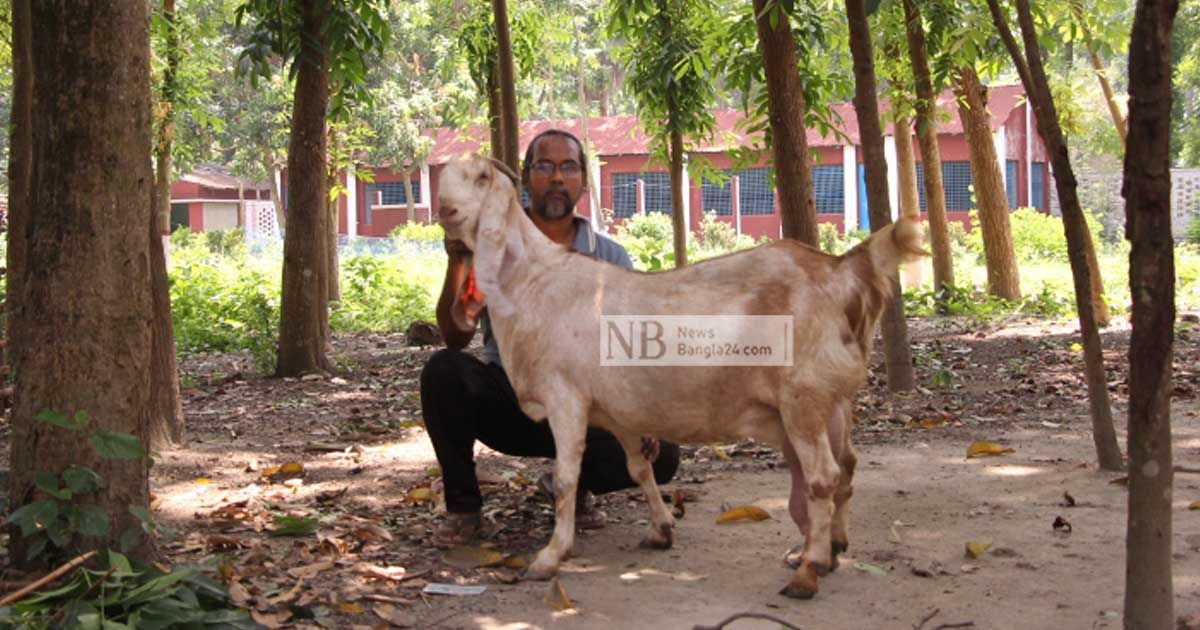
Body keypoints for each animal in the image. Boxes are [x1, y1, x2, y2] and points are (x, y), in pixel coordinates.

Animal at [436, 154, 921, 597]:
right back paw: (832, 548)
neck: (533, 282)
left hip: (804, 396)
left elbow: (567, 479)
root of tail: (840, 273)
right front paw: (661, 529)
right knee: (847, 465)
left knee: (823, 475)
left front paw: (551, 557)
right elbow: (639, 468)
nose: (444, 209)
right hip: (833, 400)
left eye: (482, 178)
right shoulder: (620, 414)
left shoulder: (565, 398)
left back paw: (810, 569)